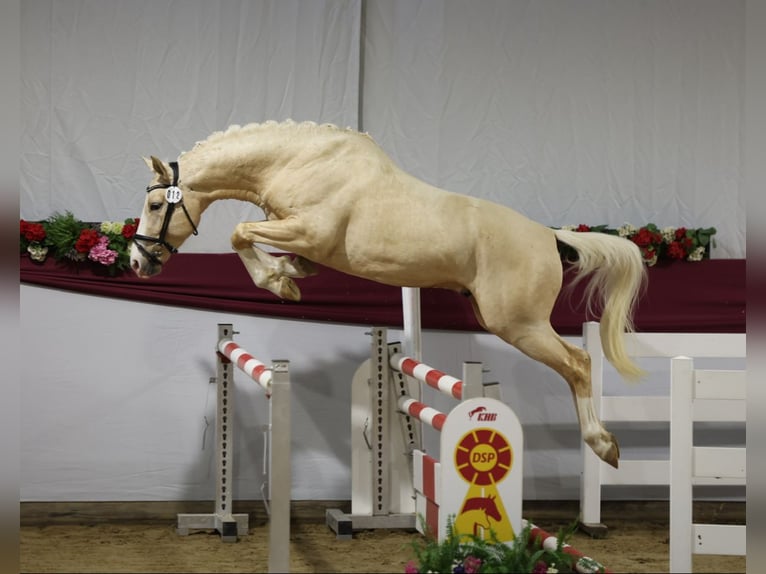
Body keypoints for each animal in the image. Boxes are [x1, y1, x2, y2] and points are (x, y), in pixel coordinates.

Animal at [130, 119, 646, 469]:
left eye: (156, 204)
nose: (137, 263)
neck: (299, 163)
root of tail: (548, 236)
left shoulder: (308, 230)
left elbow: (239, 234)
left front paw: (279, 282)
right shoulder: (302, 238)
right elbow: (275, 251)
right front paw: (288, 274)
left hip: (518, 323)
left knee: (578, 363)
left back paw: (603, 444)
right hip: (510, 321)